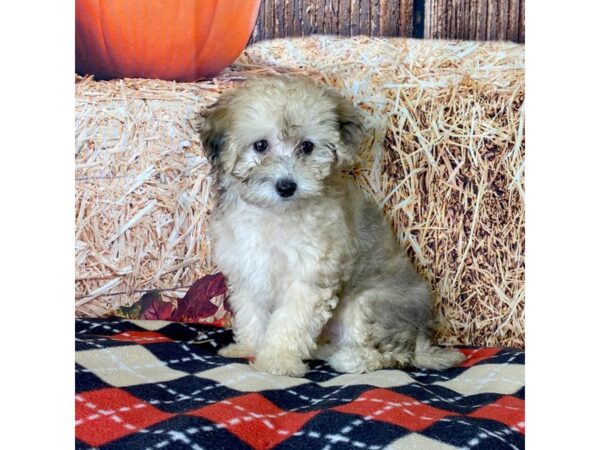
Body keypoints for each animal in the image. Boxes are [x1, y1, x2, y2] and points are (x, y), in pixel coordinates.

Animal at [200, 74, 464, 376]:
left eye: (307, 147)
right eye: (260, 145)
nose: (287, 186)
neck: (275, 213)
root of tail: (421, 340)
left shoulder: (310, 275)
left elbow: (290, 321)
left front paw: (278, 359)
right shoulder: (247, 269)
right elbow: (251, 312)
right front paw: (249, 346)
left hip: (373, 304)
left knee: (392, 354)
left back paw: (351, 359)